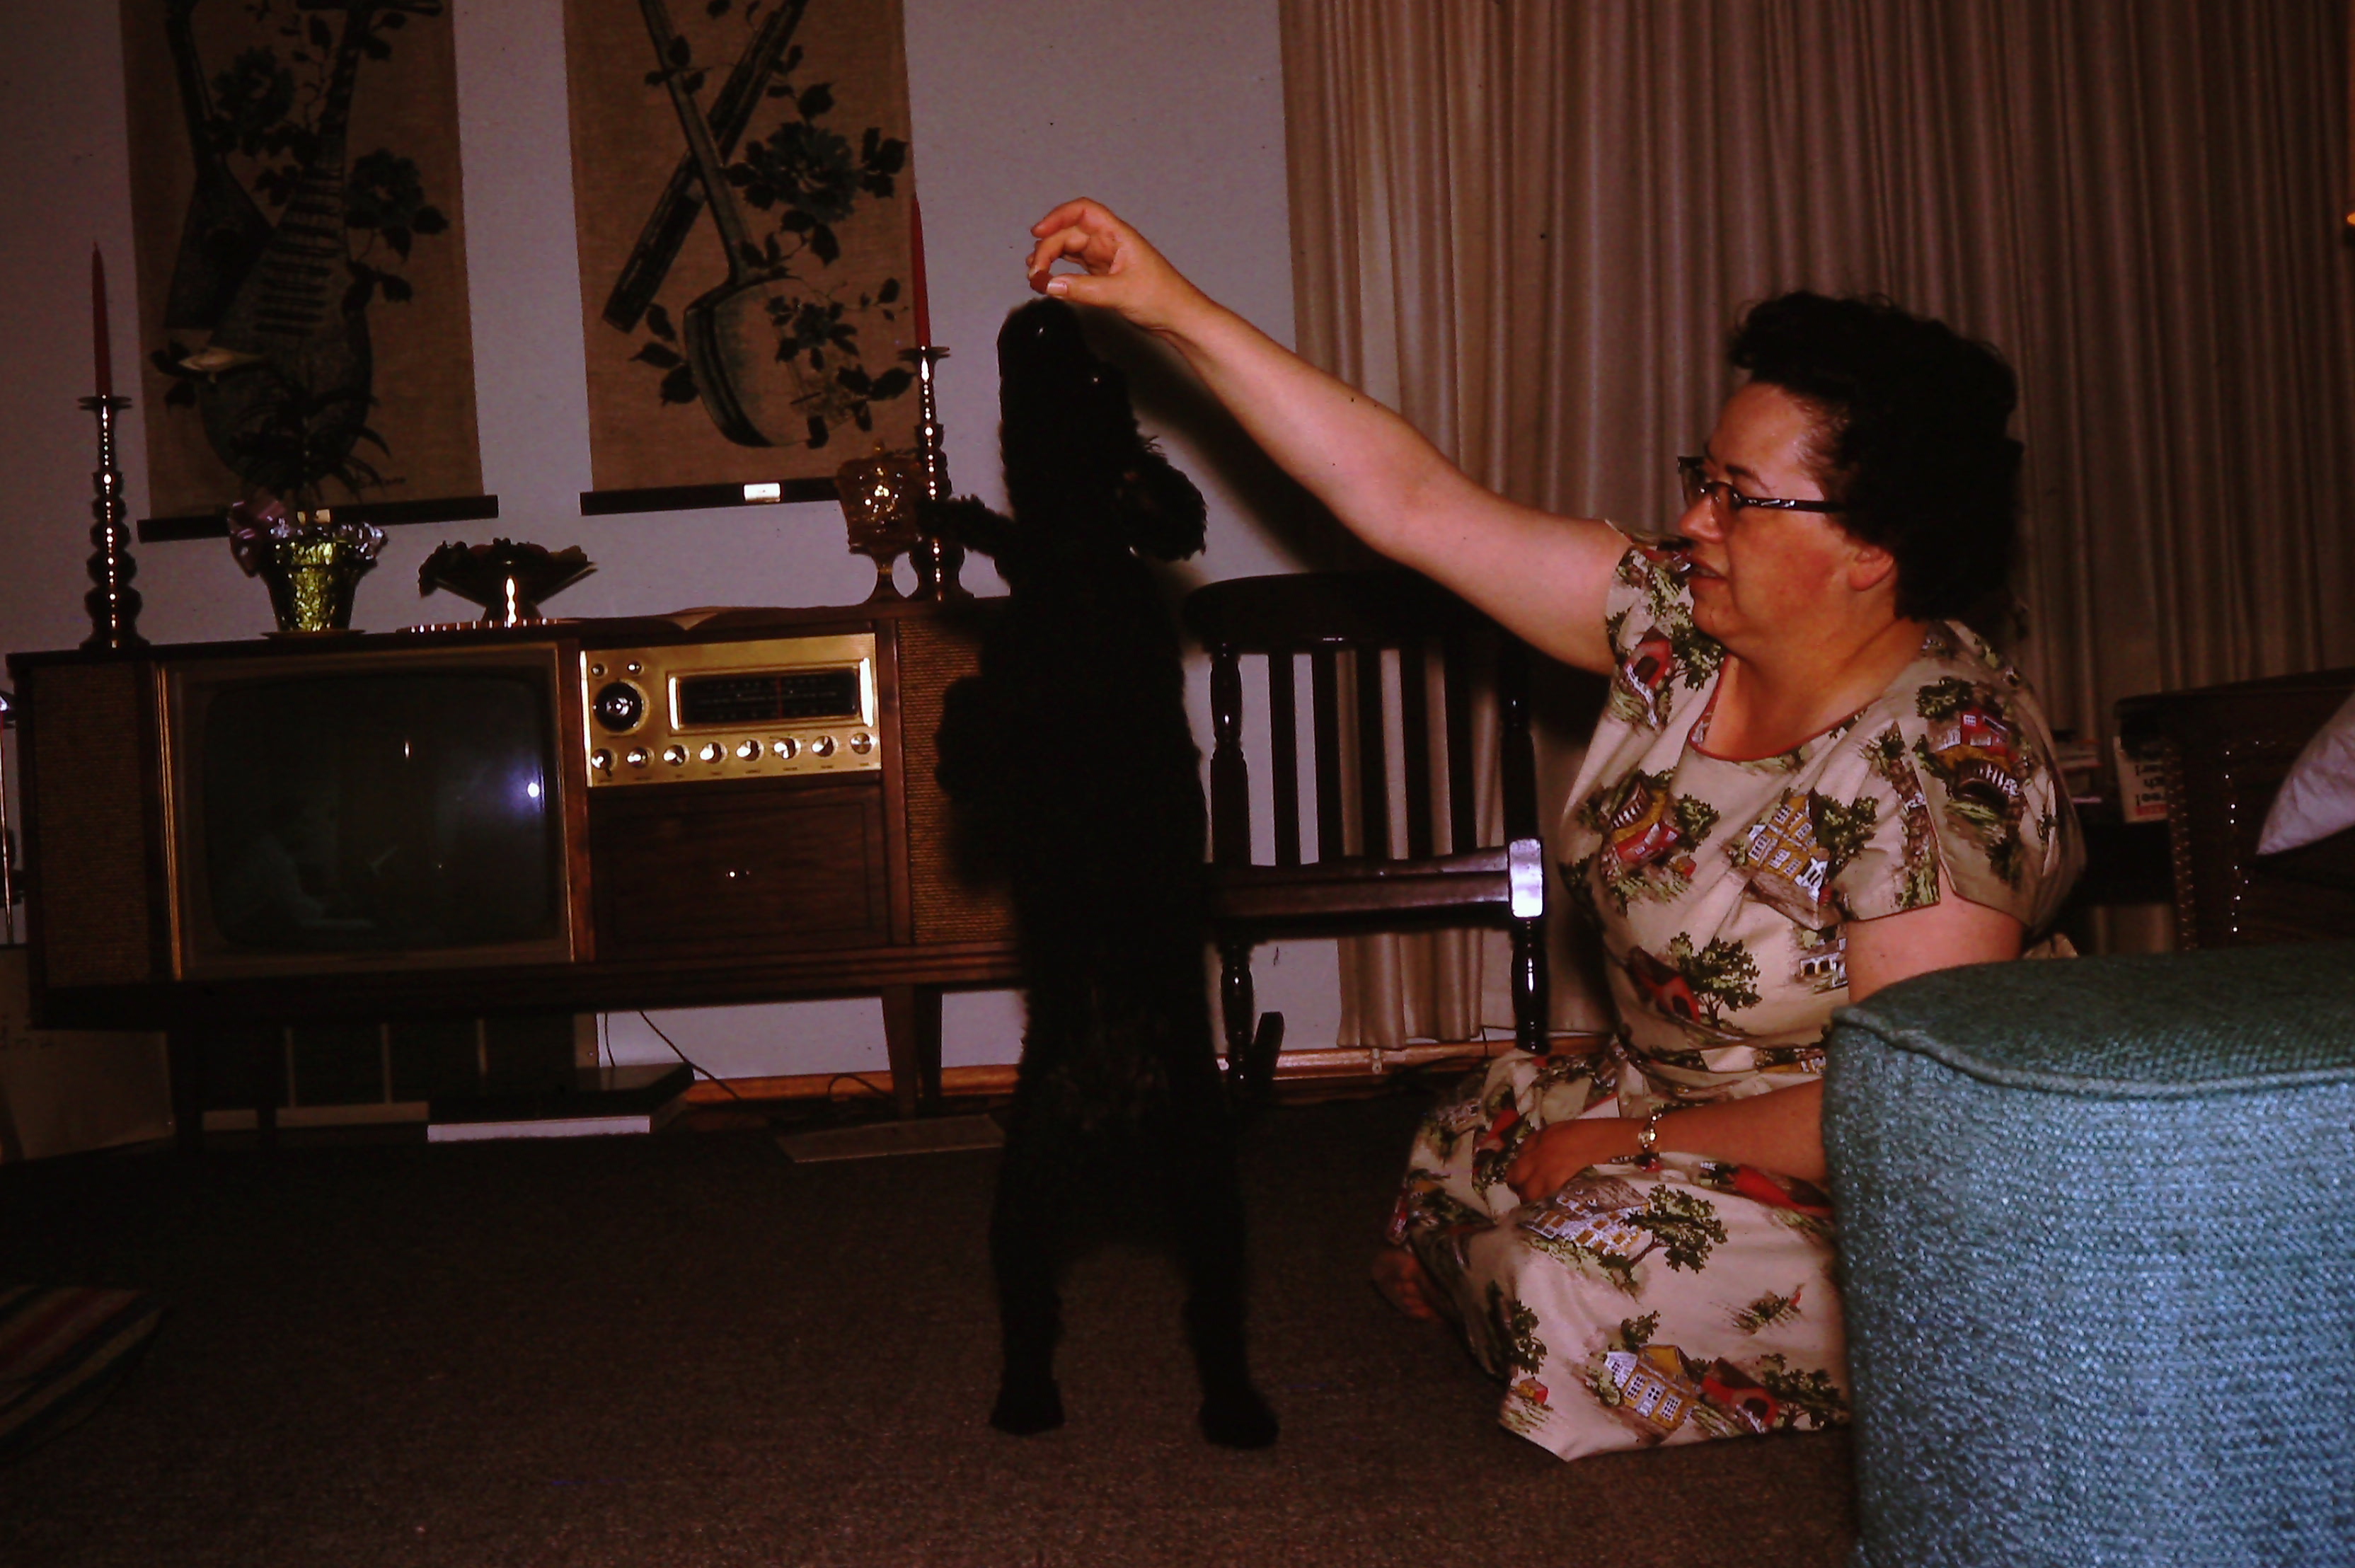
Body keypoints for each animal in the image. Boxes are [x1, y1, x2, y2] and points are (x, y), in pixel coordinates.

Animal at [926, 298, 1277, 1449]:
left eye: (1091, 383)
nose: (1045, 307)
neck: (1077, 565)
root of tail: (1120, 1112)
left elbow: (983, 731)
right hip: (1025, 1193)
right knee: (1033, 1310)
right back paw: (1027, 1399)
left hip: (1208, 1197)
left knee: (1210, 1314)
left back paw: (1237, 1410)